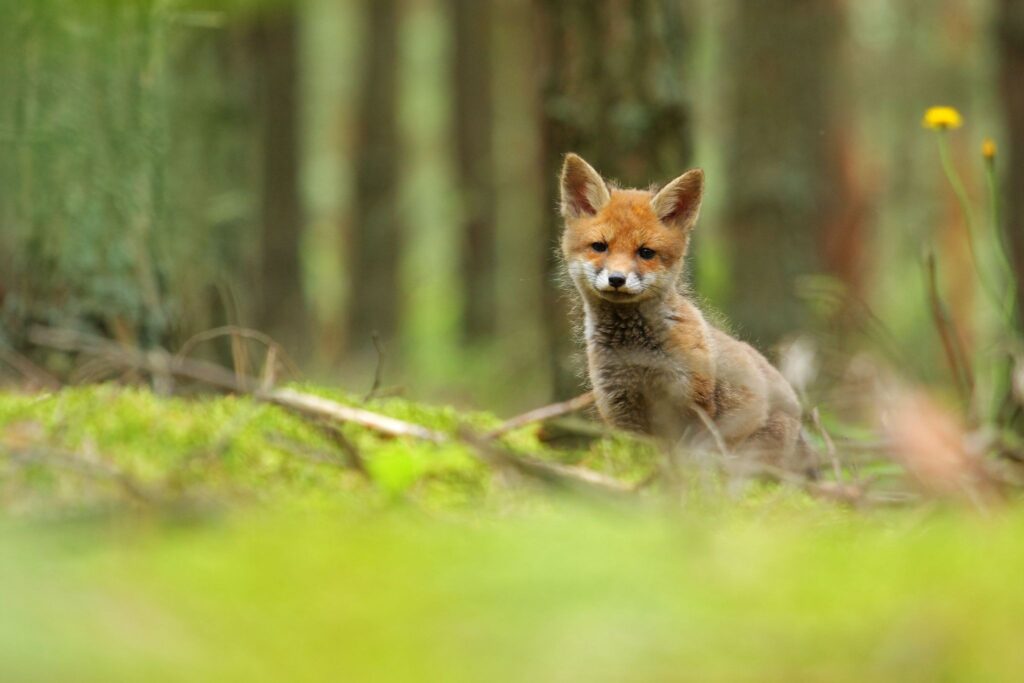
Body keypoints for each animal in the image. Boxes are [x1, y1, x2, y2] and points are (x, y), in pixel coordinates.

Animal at [558, 153, 814, 473]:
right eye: (600, 247)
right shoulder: (621, 409)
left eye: (645, 252)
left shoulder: (694, 404)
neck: (637, 355)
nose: (617, 279)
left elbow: (688, 463)